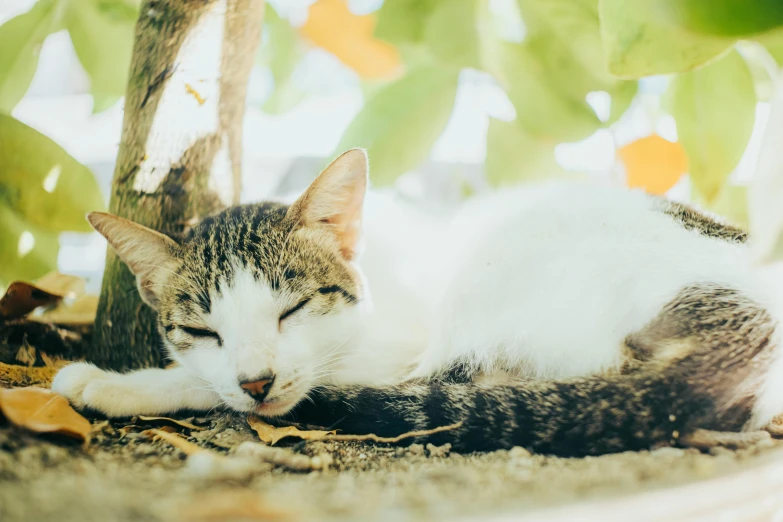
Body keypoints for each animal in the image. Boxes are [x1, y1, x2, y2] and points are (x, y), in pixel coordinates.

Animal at [53, 148, 783, 452]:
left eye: (291, 311)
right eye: (203, 330)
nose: (256, 378)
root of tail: (751, 319)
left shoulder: (388, 349)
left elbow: (274, 384)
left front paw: (118, 383)